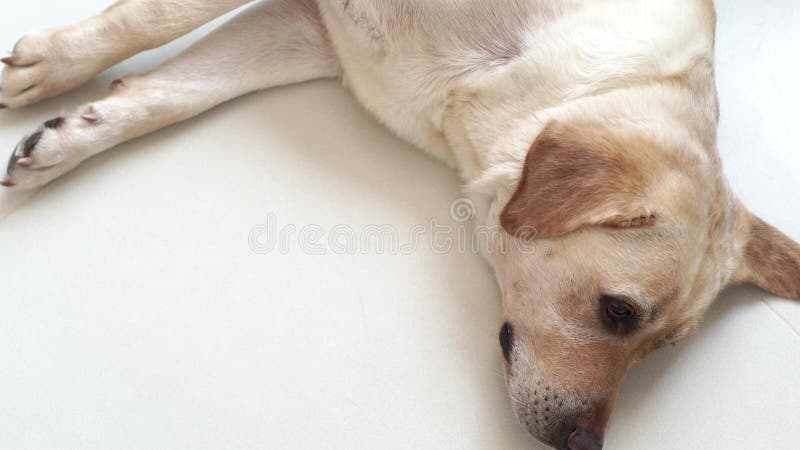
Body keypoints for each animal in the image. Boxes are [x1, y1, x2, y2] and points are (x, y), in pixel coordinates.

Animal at [1, 0, 800, 450]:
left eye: (659, 351)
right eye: (617, 311)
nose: (585, 445)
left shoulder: (306, 30)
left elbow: (175, 93)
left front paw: (72, 138)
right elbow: (149, 18)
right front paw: (56, 62)